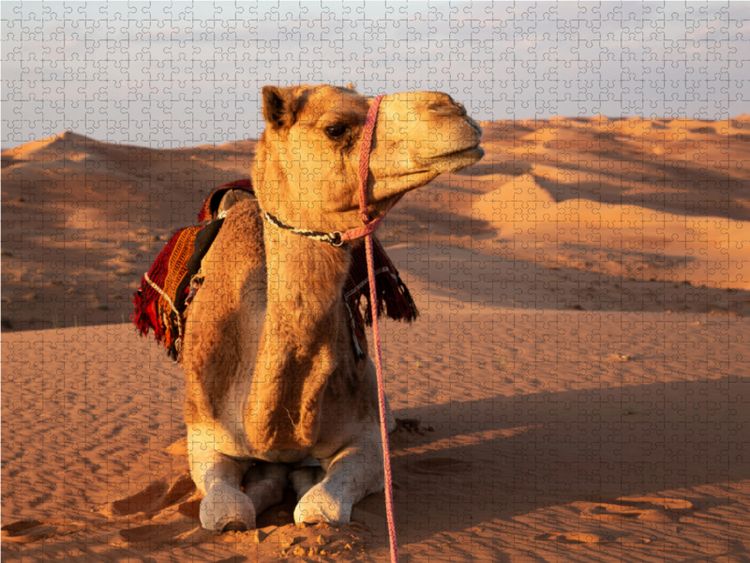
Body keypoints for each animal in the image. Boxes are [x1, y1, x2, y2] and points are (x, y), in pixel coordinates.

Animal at [180, 84, 483, 531]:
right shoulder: (204, 437)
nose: (451, 107)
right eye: (335, 128)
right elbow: (228, 513)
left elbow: (319, 509)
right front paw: (267, 484)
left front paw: (300, 482)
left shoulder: (366, 438)